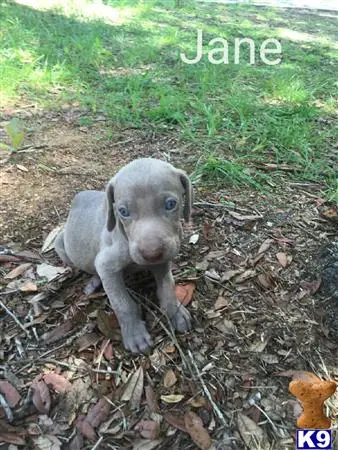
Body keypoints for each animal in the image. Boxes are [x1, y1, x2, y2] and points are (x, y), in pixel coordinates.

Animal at [55, 158, 193, 352]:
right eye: (123, 212)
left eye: (171, 204)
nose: (151, 253)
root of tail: (79, 196)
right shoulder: (106, 265)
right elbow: (123, 304)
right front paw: (135, 335)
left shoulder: (164, 259)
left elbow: (168, 288)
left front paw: (176, 313)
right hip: (60, 244)